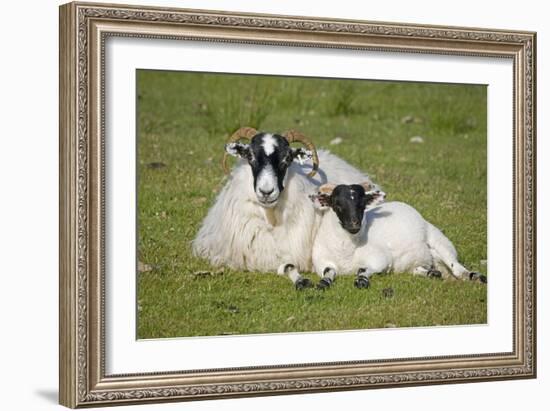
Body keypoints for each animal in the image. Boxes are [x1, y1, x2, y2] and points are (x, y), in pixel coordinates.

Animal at [310, 183, 488, 290]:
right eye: (337, 204)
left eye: (363, 204)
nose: (354, 225)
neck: (346, 251)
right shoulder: (322, 263)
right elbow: (328, 272)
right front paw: (323, 283)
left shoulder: (381, 258)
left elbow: (364, 270)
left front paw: (362, 280)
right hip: (416, 260)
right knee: (421, 268)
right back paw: (432, 273)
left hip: (438, 239)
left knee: (456, 267)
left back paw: (476, 277)